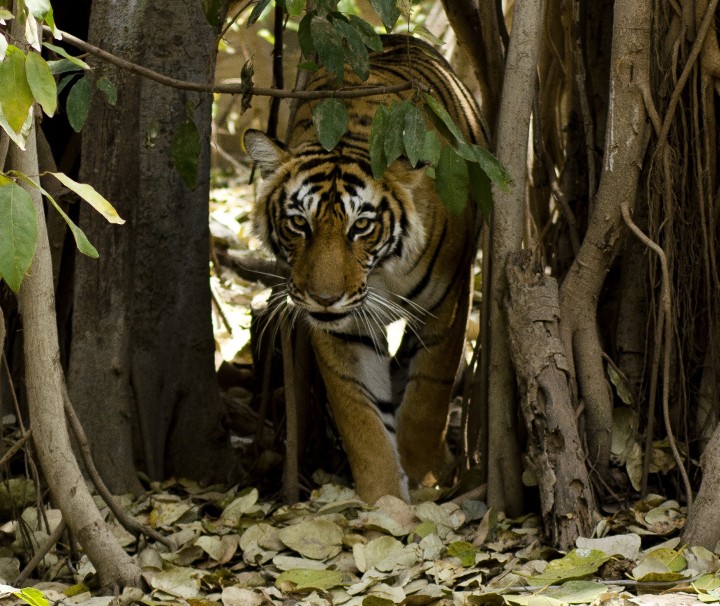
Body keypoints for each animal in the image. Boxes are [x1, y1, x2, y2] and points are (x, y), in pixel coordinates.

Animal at [245, 34, 486, 508]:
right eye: (299, 222)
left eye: (361, 227)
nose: (324, 299)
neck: (381, 276)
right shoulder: (343, 331)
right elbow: (361, 416)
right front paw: (386, 505)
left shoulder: (448, 305)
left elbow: (427, 397)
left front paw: (421, 481)